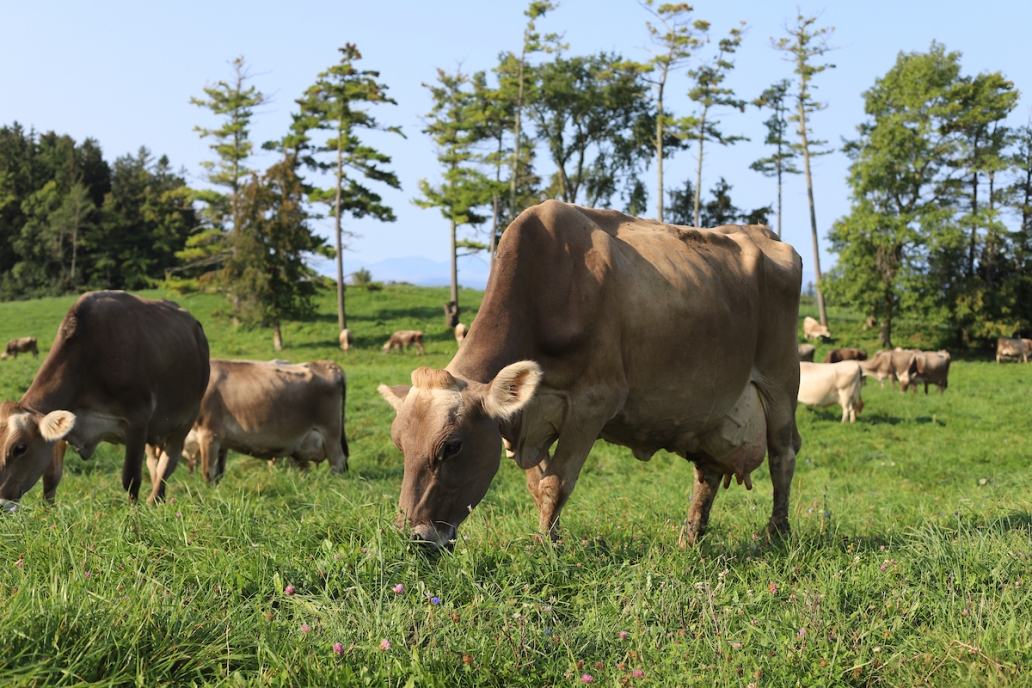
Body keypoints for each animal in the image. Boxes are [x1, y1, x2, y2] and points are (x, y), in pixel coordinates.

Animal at [0, 291, 209, 506]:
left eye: (20, 448)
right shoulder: (61, 429)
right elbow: (51, 479)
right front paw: (47, 512)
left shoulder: (138, 420)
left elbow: (131, 478)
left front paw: (134, 512)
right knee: (153, 463)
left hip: (186, 420)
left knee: (167, 464)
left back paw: (154, 499)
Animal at [173, 358, 349, 482]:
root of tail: (326, 364)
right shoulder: (222, 441)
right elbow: (219, 472)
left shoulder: (209, 435)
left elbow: (208, 473)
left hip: (331, 434)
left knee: (337, 463)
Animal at [378, 200, 802, 552]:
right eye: (399, 444)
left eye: (452, 447)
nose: (415, 537)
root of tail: (764, 233)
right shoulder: (523, 419)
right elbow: (537, 486)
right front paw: (550, 538)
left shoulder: (593, 402)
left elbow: (556, 483)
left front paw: (546, 548)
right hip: (713, 410)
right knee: (708, 473)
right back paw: (690, 540)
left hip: (781, 380)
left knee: (783, 455)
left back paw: (776, 534)